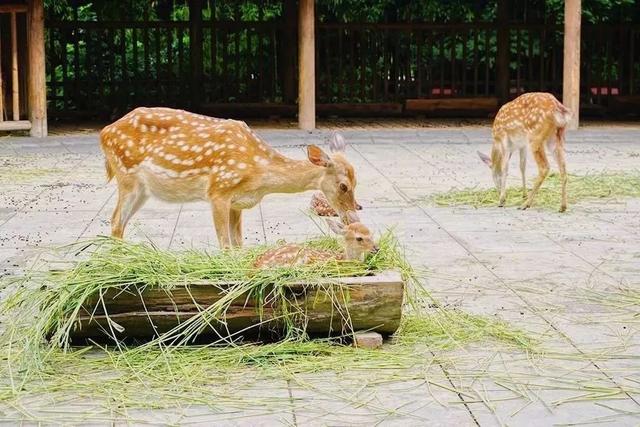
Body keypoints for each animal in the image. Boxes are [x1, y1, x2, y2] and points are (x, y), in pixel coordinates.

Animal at [100, 107, 360, 247]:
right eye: (343, 186)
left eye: (357, 181)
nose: (354, 218)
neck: (258, 173)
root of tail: (104, 132)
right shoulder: (218, 191)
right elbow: (225, 244)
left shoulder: (238, 202)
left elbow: (238, 244)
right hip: (127, 176)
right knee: (115, 219)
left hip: (144, 190)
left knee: (119, 222)